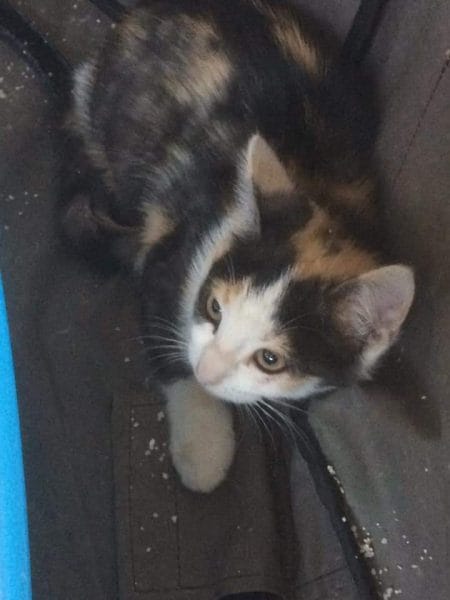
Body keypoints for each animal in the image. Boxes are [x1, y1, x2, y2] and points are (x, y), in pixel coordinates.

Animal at [61, 0, 415, 492]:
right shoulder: (173, 248)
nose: (208, 371)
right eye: (214, 307)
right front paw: (204, 446)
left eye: (270, 360)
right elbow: (165, 331)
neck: (320, 188)